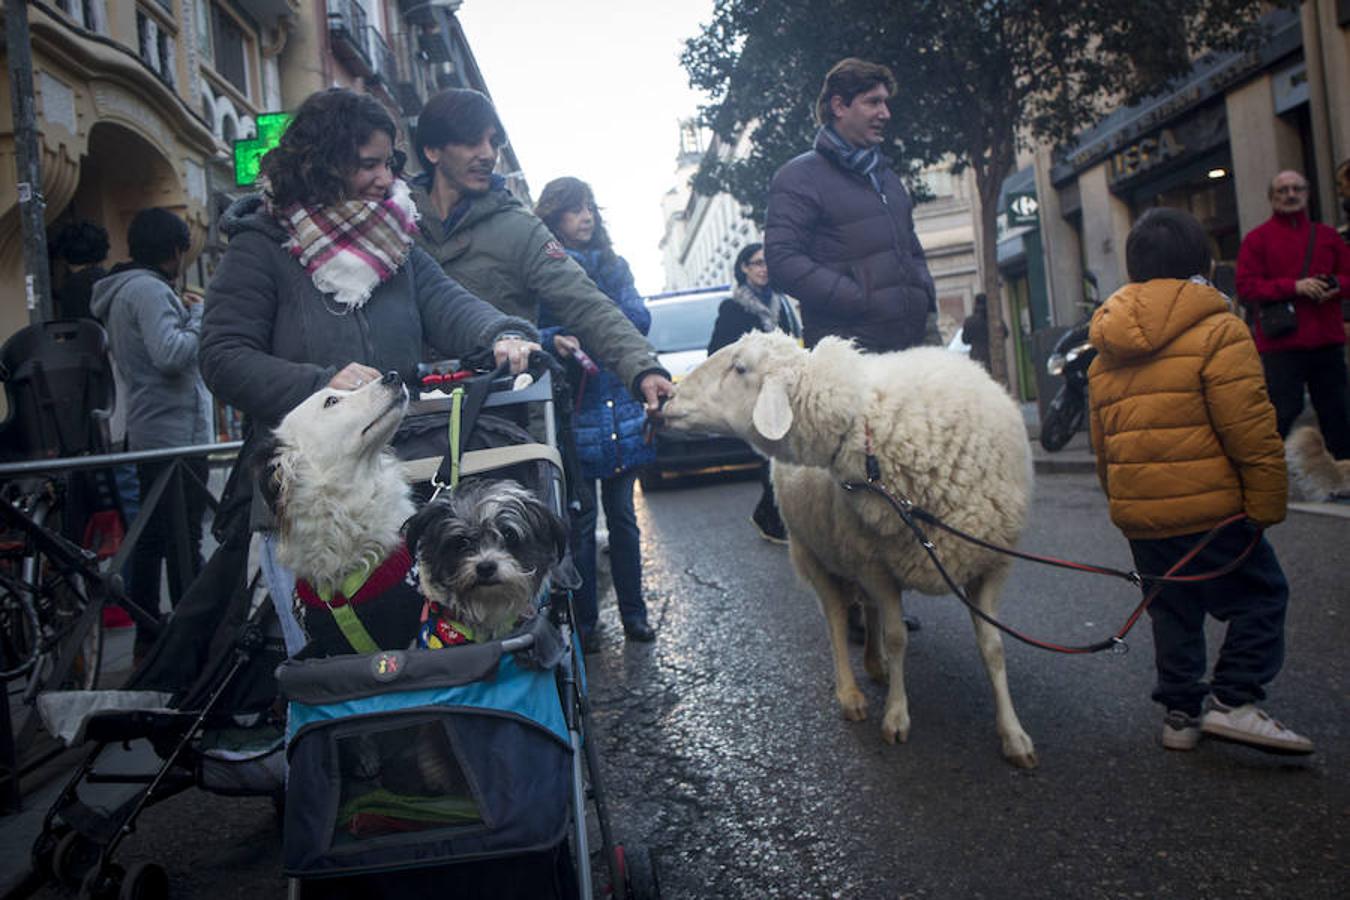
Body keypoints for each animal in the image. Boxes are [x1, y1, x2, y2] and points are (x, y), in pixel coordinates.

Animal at [658, 330, 1036, 766]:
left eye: (739, 368)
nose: (666, 398)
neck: (863, 419)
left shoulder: (991, 561)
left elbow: (993, 647)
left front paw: (1013, 735)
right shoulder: (878, 567)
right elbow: (897, 638)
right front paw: (896, 716)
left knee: (867, 611)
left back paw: (876, 665)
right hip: (815, 554)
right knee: (837, 619)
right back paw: (851, 693)